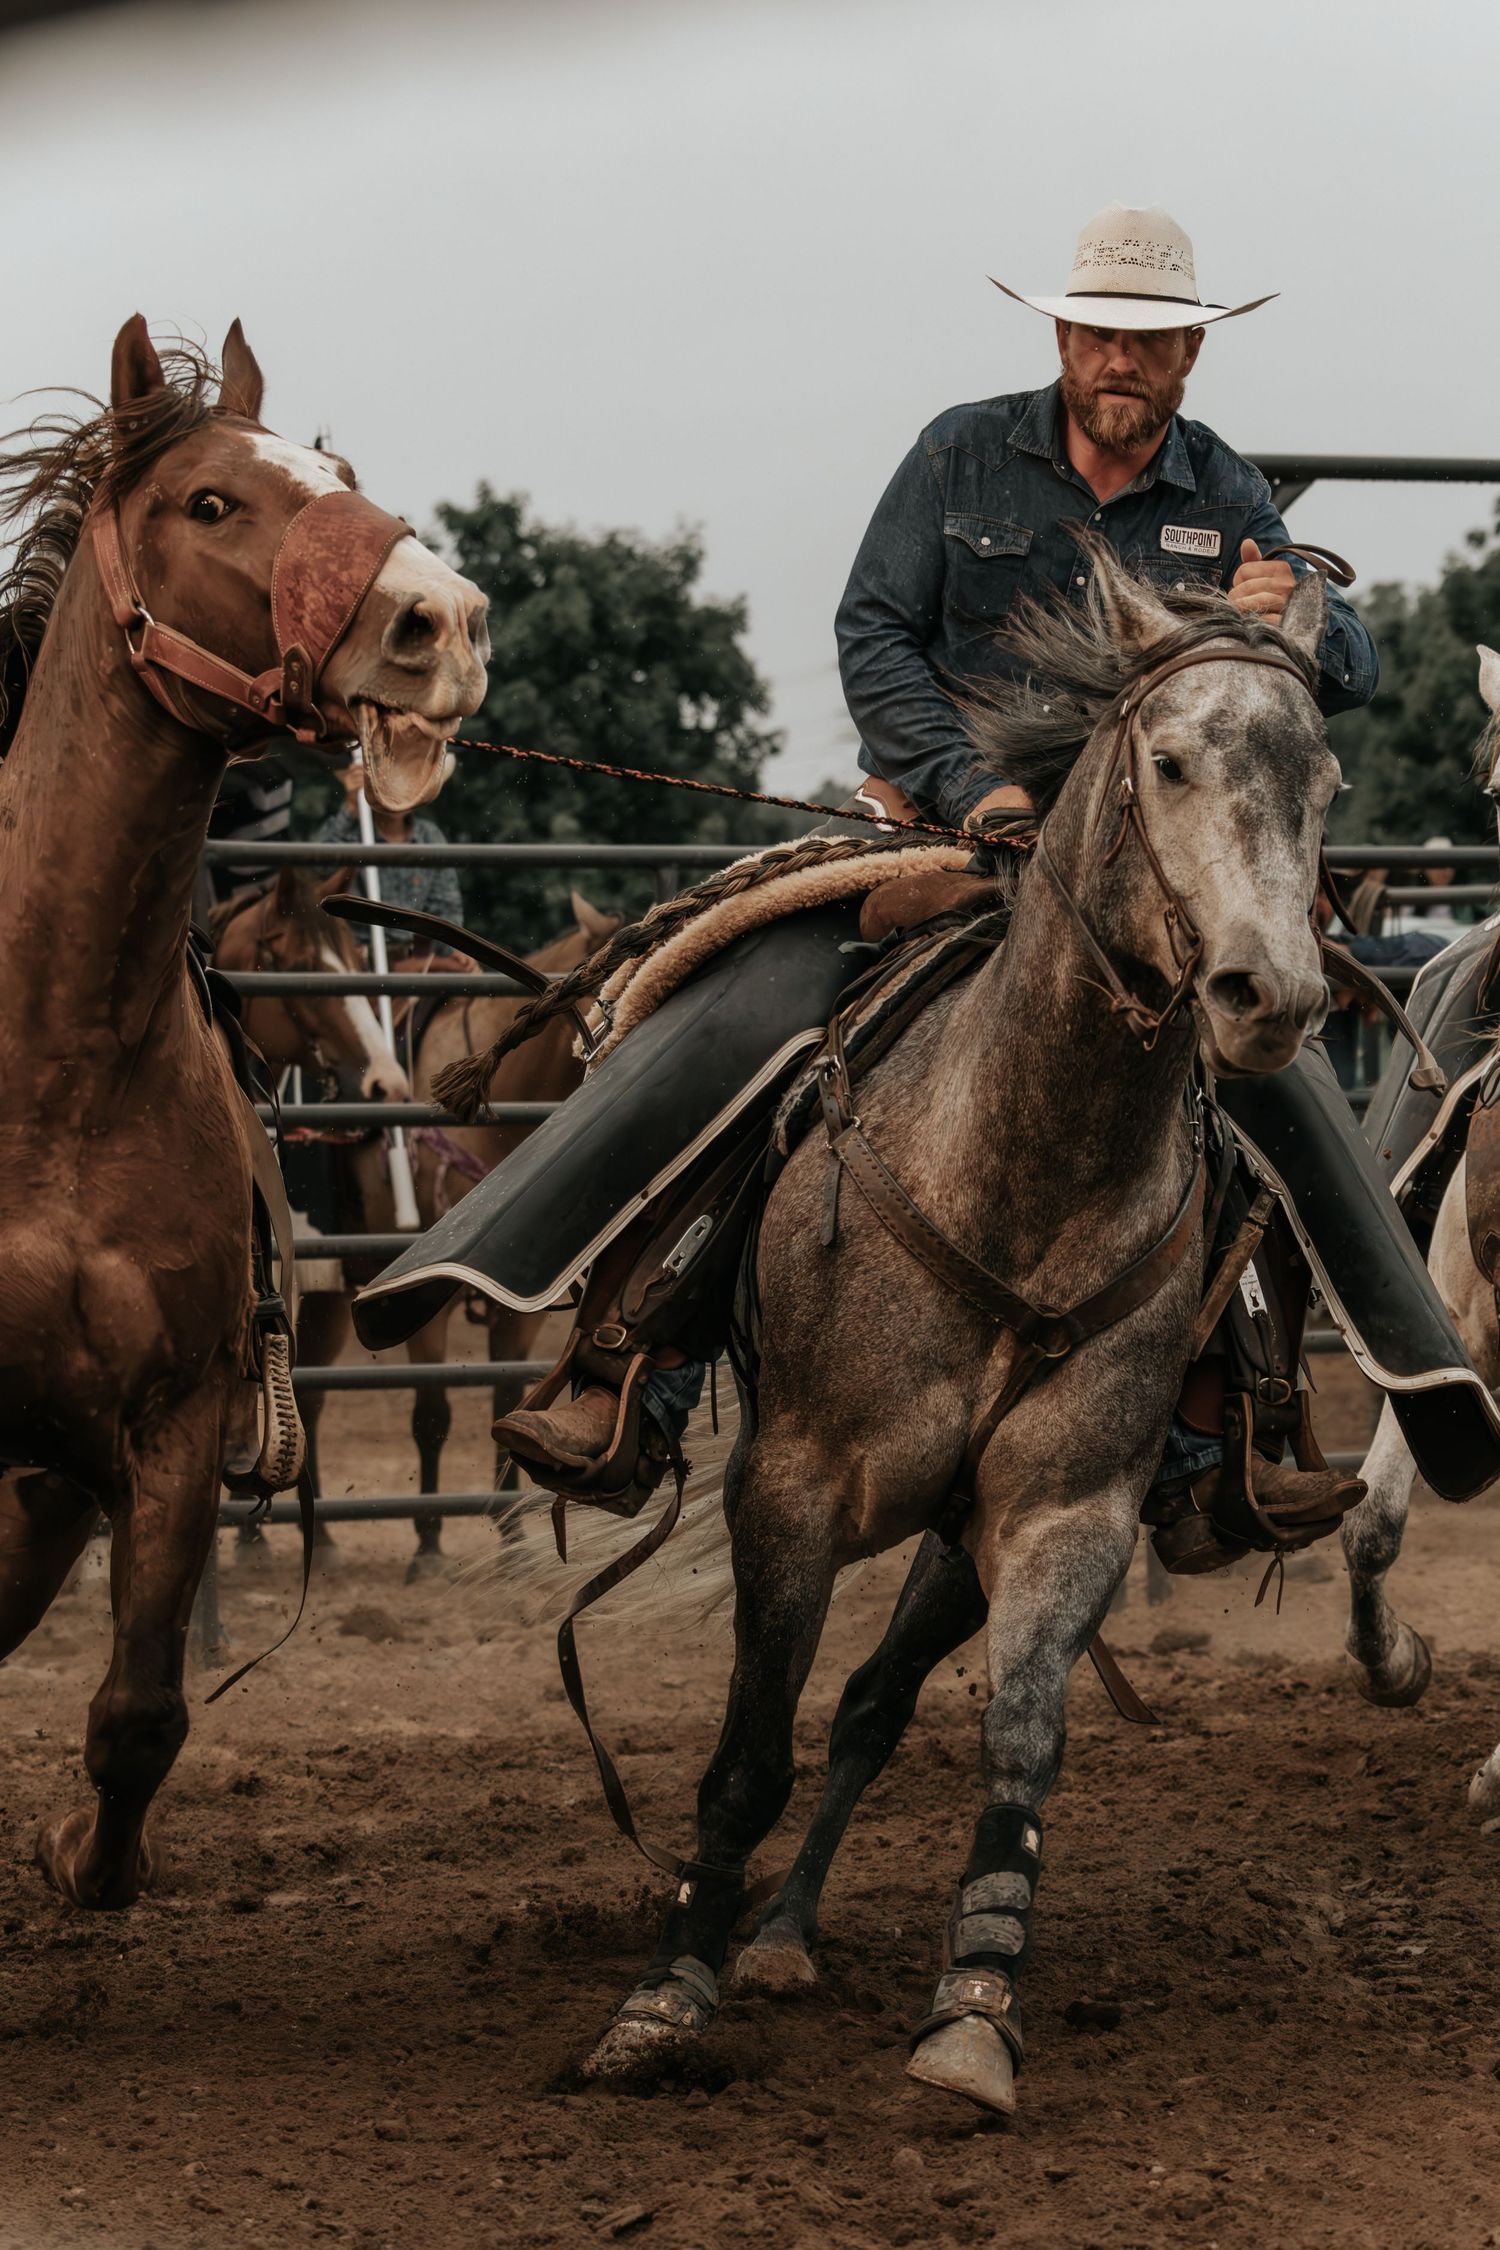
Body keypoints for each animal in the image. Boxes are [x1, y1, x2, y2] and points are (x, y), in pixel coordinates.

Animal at [0, 315, 487, 1908]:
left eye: (336, 473)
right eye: (209, 502)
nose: (444, 618)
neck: (54, 1061)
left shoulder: (167, 1427)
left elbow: (140, 1713)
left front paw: (81, 1850)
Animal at [581, 543, 1337, 2114]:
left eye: (1325, 779)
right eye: (1169, 760)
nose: (1271, 995)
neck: (1021, 1175)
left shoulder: (1064, 1508)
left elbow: (1018, 1739)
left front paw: (975, 2006)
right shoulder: (790, 1486)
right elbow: (746, 1753)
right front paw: (665, 1992)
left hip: (953, 1536)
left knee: (873, 1702)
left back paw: (786, 1933)